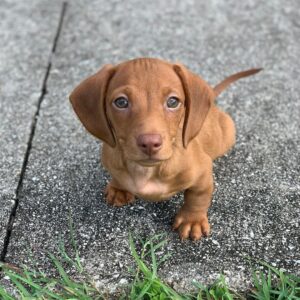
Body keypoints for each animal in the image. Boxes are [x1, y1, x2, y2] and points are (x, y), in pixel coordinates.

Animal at [69, 58, 258, 241]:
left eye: (173, 101)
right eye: (121, 102)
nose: (150, 143)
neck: (147, 170)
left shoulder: (203, 172)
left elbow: (198, 197)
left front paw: (192, 220)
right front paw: (118, 187)